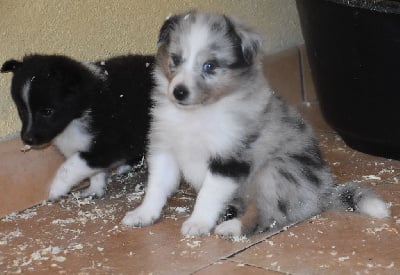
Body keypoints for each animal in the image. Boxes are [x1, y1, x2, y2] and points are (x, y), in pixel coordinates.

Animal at [1, 54, 155, 201]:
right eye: (22, 110)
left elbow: (70, 166)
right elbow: (93, 172)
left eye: (47, 112)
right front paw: (95, 189)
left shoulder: (106, 147)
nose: (28, 139)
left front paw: (56, 189)